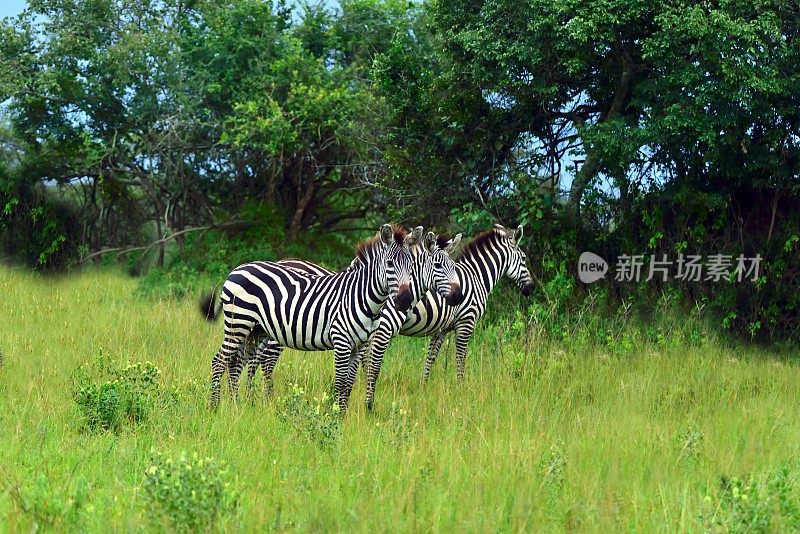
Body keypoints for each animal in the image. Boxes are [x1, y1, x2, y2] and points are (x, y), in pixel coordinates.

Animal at [200, 224, 422, 412]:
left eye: (411, 265)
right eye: (390, 264)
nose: (405, 300)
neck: (361, 297)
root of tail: (237, 269)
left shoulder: (360, 345)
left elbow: (349, 383)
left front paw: (343, 415)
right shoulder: (341, 341)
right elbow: (340, 382)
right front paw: (336, 416)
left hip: (255, 329)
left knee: (235, 363)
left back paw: (237, 407)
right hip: (238, 323)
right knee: (219, 361)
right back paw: (214, 407)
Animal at [225, 232, 462, 404]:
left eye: (453, 267)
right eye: (439, 266)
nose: (458, 296)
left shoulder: (366, 339)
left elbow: (359, 371)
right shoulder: (379, 334)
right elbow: (372, 370)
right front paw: (367, 406)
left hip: (261, 329)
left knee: (250, 359)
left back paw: (250, 399)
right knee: (262, 361)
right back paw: (264, 400)